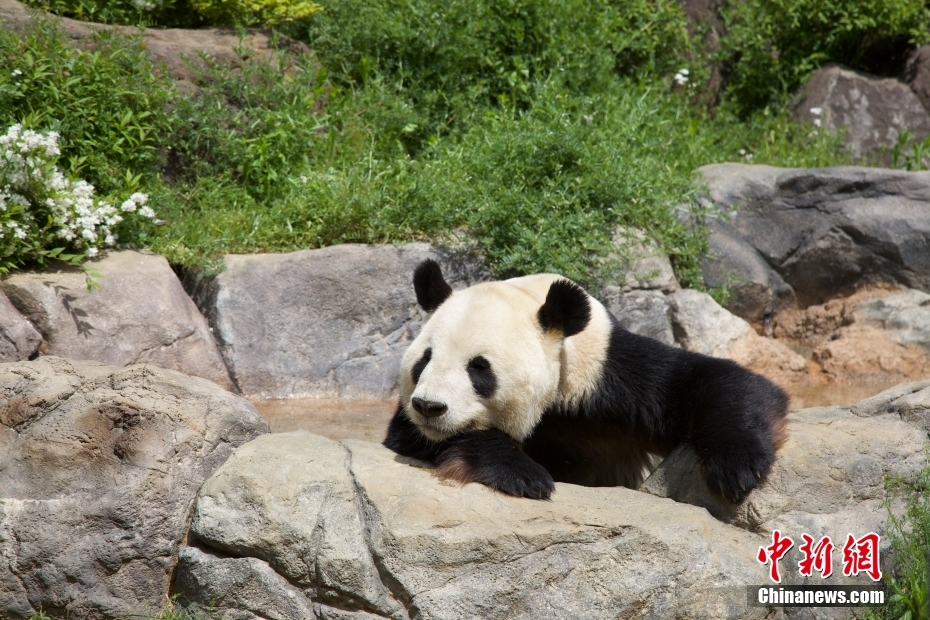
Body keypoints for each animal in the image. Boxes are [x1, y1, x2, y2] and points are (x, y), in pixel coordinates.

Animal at [380, 260, 788, 502]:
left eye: (479, 368)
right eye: (425, 359)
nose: (429, 406)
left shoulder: (607, 375)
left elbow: (714, 381)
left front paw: (737, 468)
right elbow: (413, 439)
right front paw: (524, 474)